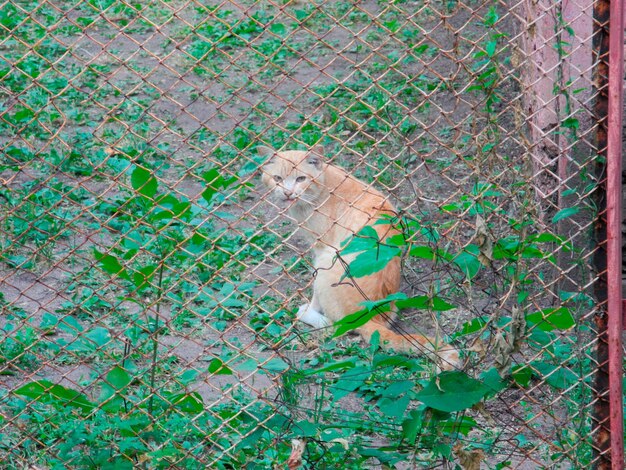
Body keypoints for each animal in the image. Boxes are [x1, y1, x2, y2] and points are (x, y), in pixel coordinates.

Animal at [258, 145, 458, 370]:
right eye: (277, 178)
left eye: (301, 178)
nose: (287, 192)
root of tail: (371, 316)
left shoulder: (320, 247)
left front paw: (309, 308)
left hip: (328, 261)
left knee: (336, 324)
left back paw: (306, 313)